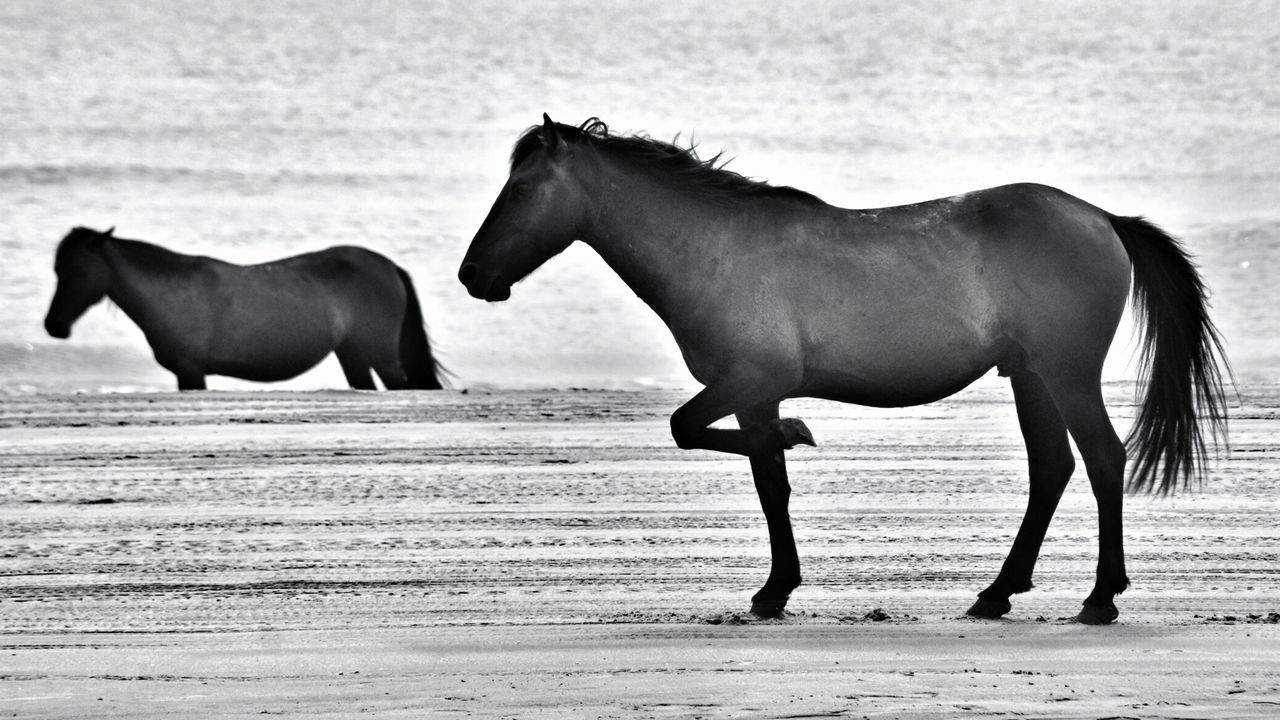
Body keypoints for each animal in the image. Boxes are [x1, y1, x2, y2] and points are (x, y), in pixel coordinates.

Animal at [43, 225, 445, 389]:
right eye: (57, 269)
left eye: (79, 270)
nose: (54, 325)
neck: (170, 292)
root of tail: (389, 266)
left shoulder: (191, 371)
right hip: (352, 353)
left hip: (384, 357)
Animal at [458, 113, 1228, 622]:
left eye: (520, 190)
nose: (472, 276)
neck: (715, 249)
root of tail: (1102, 218)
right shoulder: (750, 396)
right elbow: (768, 485)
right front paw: (775, 586)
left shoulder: (751, 383)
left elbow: (690, 429)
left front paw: (796, 437)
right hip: (1032, 378)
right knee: (1053, 470)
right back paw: (996, 593)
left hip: (1066, 374)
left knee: (1101, 459)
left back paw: (1100, 597)